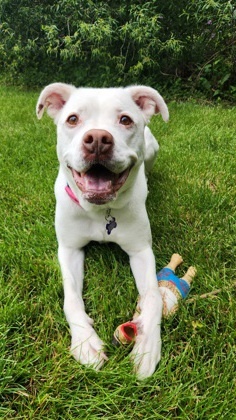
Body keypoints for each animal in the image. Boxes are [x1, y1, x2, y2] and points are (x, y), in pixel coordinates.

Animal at [36, 83, 168, 378]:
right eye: (72, 119)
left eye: (125, 120)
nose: (97, 139)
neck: (100, 211)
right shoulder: (69, 250)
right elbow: (71, 298)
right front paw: (86, 342)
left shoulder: (142, 251)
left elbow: (153, 296)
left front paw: (147, 347)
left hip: (153, 148)